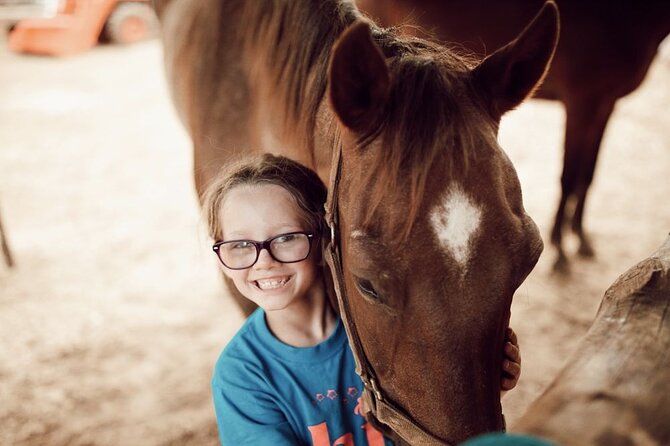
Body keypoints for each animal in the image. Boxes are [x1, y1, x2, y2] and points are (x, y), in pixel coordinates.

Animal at [355, 0, 670, 271]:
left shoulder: (605, 104)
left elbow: (588, 174)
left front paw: (580, 236)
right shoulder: (581, 101)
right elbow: (568, 176)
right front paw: (560, 248)